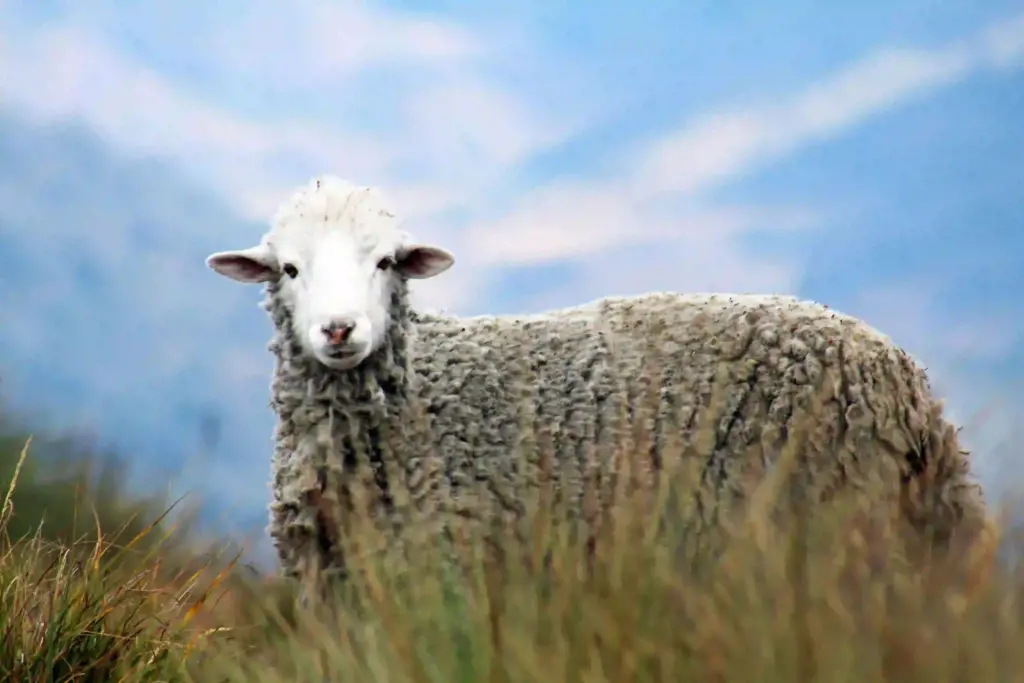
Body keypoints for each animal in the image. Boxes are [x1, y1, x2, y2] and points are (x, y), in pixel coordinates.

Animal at [206, 175, 991, 598]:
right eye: (289, 269)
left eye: (385, 262)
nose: (339, 330)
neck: (414, 398)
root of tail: (910, 386)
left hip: (821, 522)